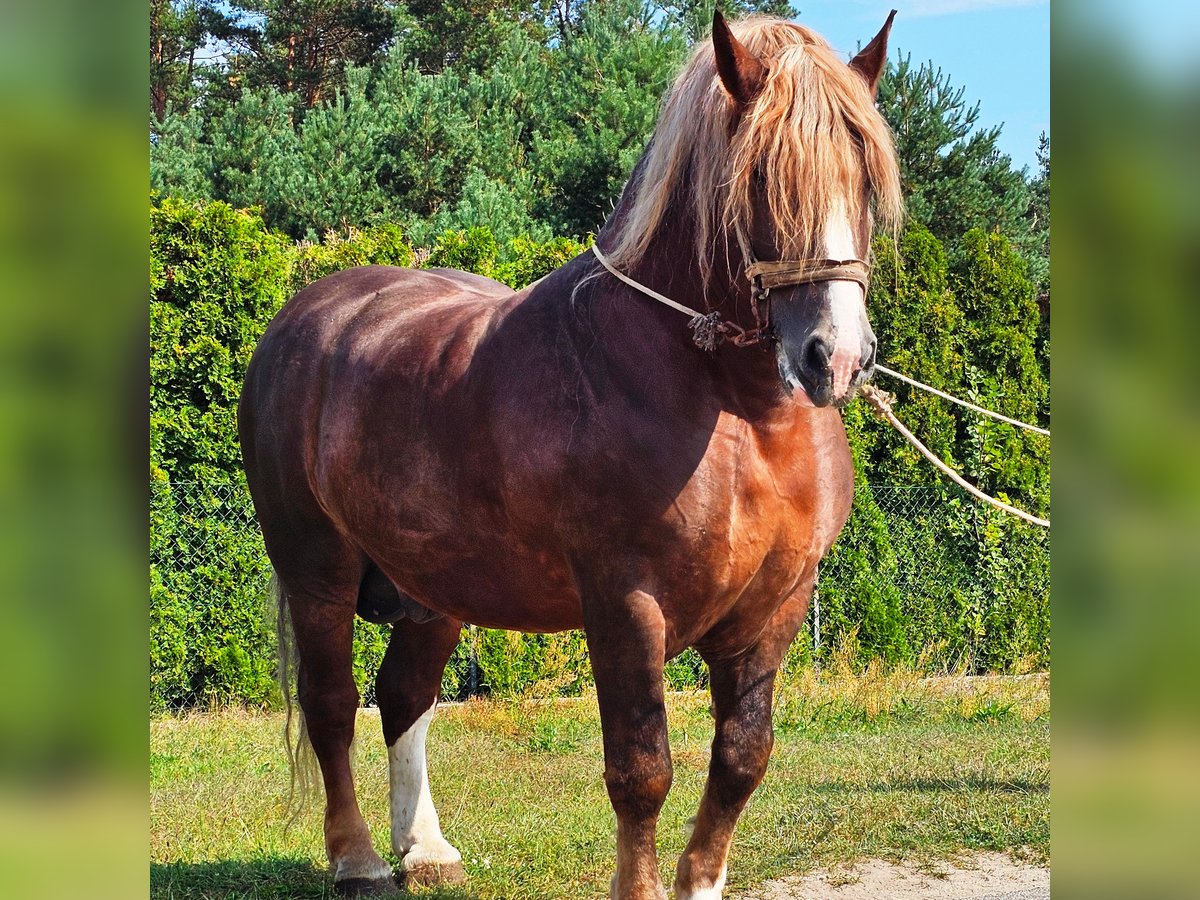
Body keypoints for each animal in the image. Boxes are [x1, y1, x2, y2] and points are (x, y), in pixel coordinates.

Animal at [238, 10, 902, 897]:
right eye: (761, 174)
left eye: (863, 174)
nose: (836, 356)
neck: (738, 414)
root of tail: (302, 319)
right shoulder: (625, 601)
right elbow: (642, 768)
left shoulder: (779, 602)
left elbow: (742, 757)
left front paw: (701, 879)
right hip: (317, 567)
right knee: (333, 701)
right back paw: (359, 858)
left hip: (434, 586)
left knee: (404, 694)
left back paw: (426, 848)